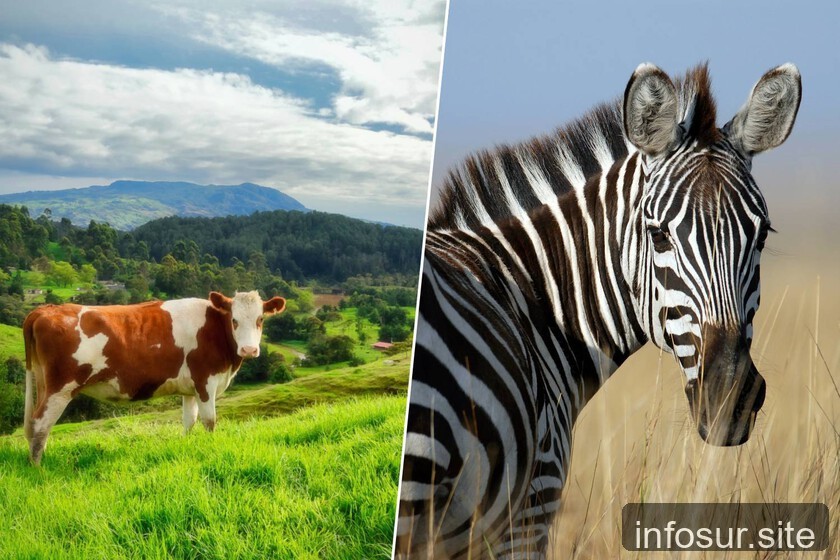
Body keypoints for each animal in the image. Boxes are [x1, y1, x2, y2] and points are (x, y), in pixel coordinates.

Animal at [22, 290, 285, 465]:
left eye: (260, 319)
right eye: (234, 320)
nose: (249, 350)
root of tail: (46, 309)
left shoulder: (190, 388)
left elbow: (189, 421)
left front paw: (187, 446)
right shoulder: (205, 382)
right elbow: (209, 421)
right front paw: (211, 449)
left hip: (43, 382)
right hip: (60, 387)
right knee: (40, 424)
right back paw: (38, 467)